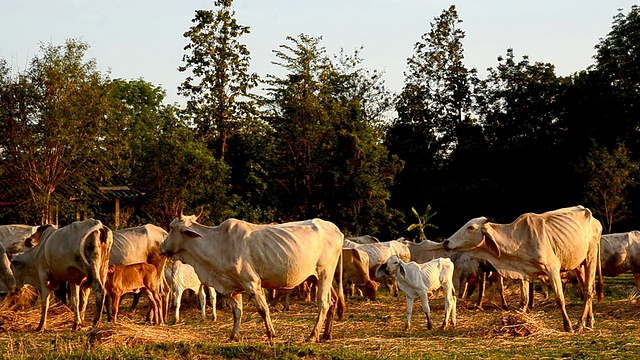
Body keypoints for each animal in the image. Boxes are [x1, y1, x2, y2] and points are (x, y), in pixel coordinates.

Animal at [162, 212, 348, 342]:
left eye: (171, 228)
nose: (162, 247)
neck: (219, 243)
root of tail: (336, 229)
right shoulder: (234, 286)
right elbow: (237, 312)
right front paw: (233, 336)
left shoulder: (251, 283)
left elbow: (263, 309)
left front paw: (271, 334)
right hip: (319, 277)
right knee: (333, 302)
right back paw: (326, 335)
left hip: (324, 273)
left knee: (323, 303)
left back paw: (313, 335)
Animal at [442, 205, 604, 332]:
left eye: (471, 227)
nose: (446, 242)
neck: (519, 239)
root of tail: (595, 221)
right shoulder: (524, 273)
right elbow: (524, 300)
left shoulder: (552, 269)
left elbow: (560, 299)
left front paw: (568, 326)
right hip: (578, 264)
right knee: (587, 288)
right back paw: (589, 322)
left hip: (591, 256)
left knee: (589, 291)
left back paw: (580, 324)